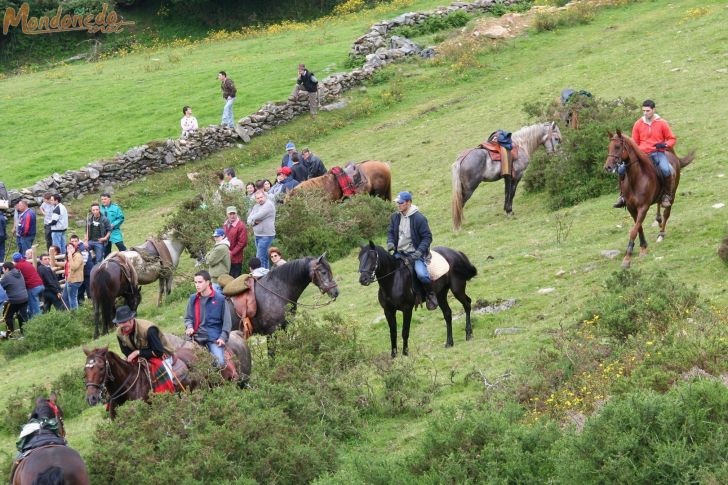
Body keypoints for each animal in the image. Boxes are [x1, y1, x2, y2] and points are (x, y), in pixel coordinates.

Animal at [604, 129, 692, 268]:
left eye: (617, 147)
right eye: (609, 147)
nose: (607, 167)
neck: (636, 179)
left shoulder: (643, 207)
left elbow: (634, 230)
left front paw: (627, 258)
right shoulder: (631, 208)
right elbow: (638, 227)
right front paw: (643, 248)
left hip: (672, 195)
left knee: (667, 212)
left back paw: (661, 234)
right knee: (659, 206)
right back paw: (658, 220)